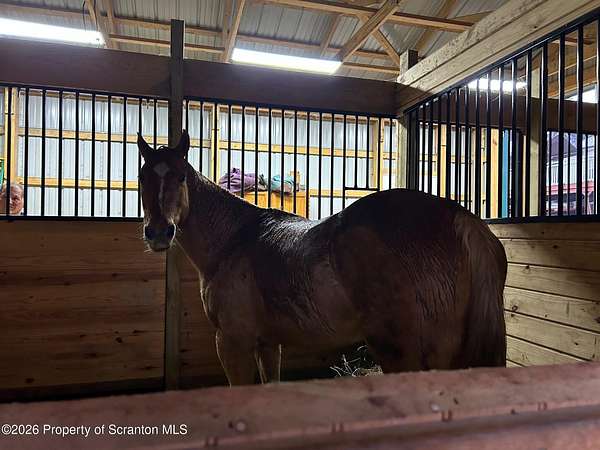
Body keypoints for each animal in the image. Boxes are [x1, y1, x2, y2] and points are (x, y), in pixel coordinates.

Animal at [137, 130, 507, 385]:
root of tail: (461, 218)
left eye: (181, 176)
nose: (159, 233)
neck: (233, 240)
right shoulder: (267, 343)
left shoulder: (232, 342)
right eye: (142, 177)